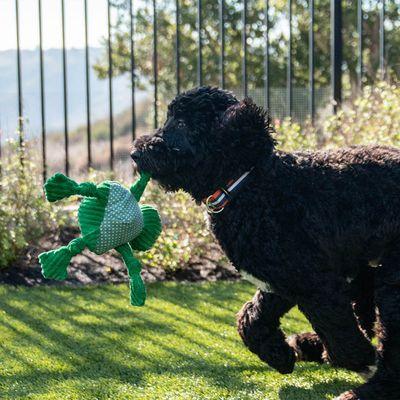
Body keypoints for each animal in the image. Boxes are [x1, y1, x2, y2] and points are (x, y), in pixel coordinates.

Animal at [133, 86, 400, 398]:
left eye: (183, 123)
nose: (135, 153)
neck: (248, 184)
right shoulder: (279, 282)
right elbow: (250, 318)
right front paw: (279, 356)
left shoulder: (314, 283)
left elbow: (338, 331)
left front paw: (362, 360)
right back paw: (309, 346)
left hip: (389, 279)